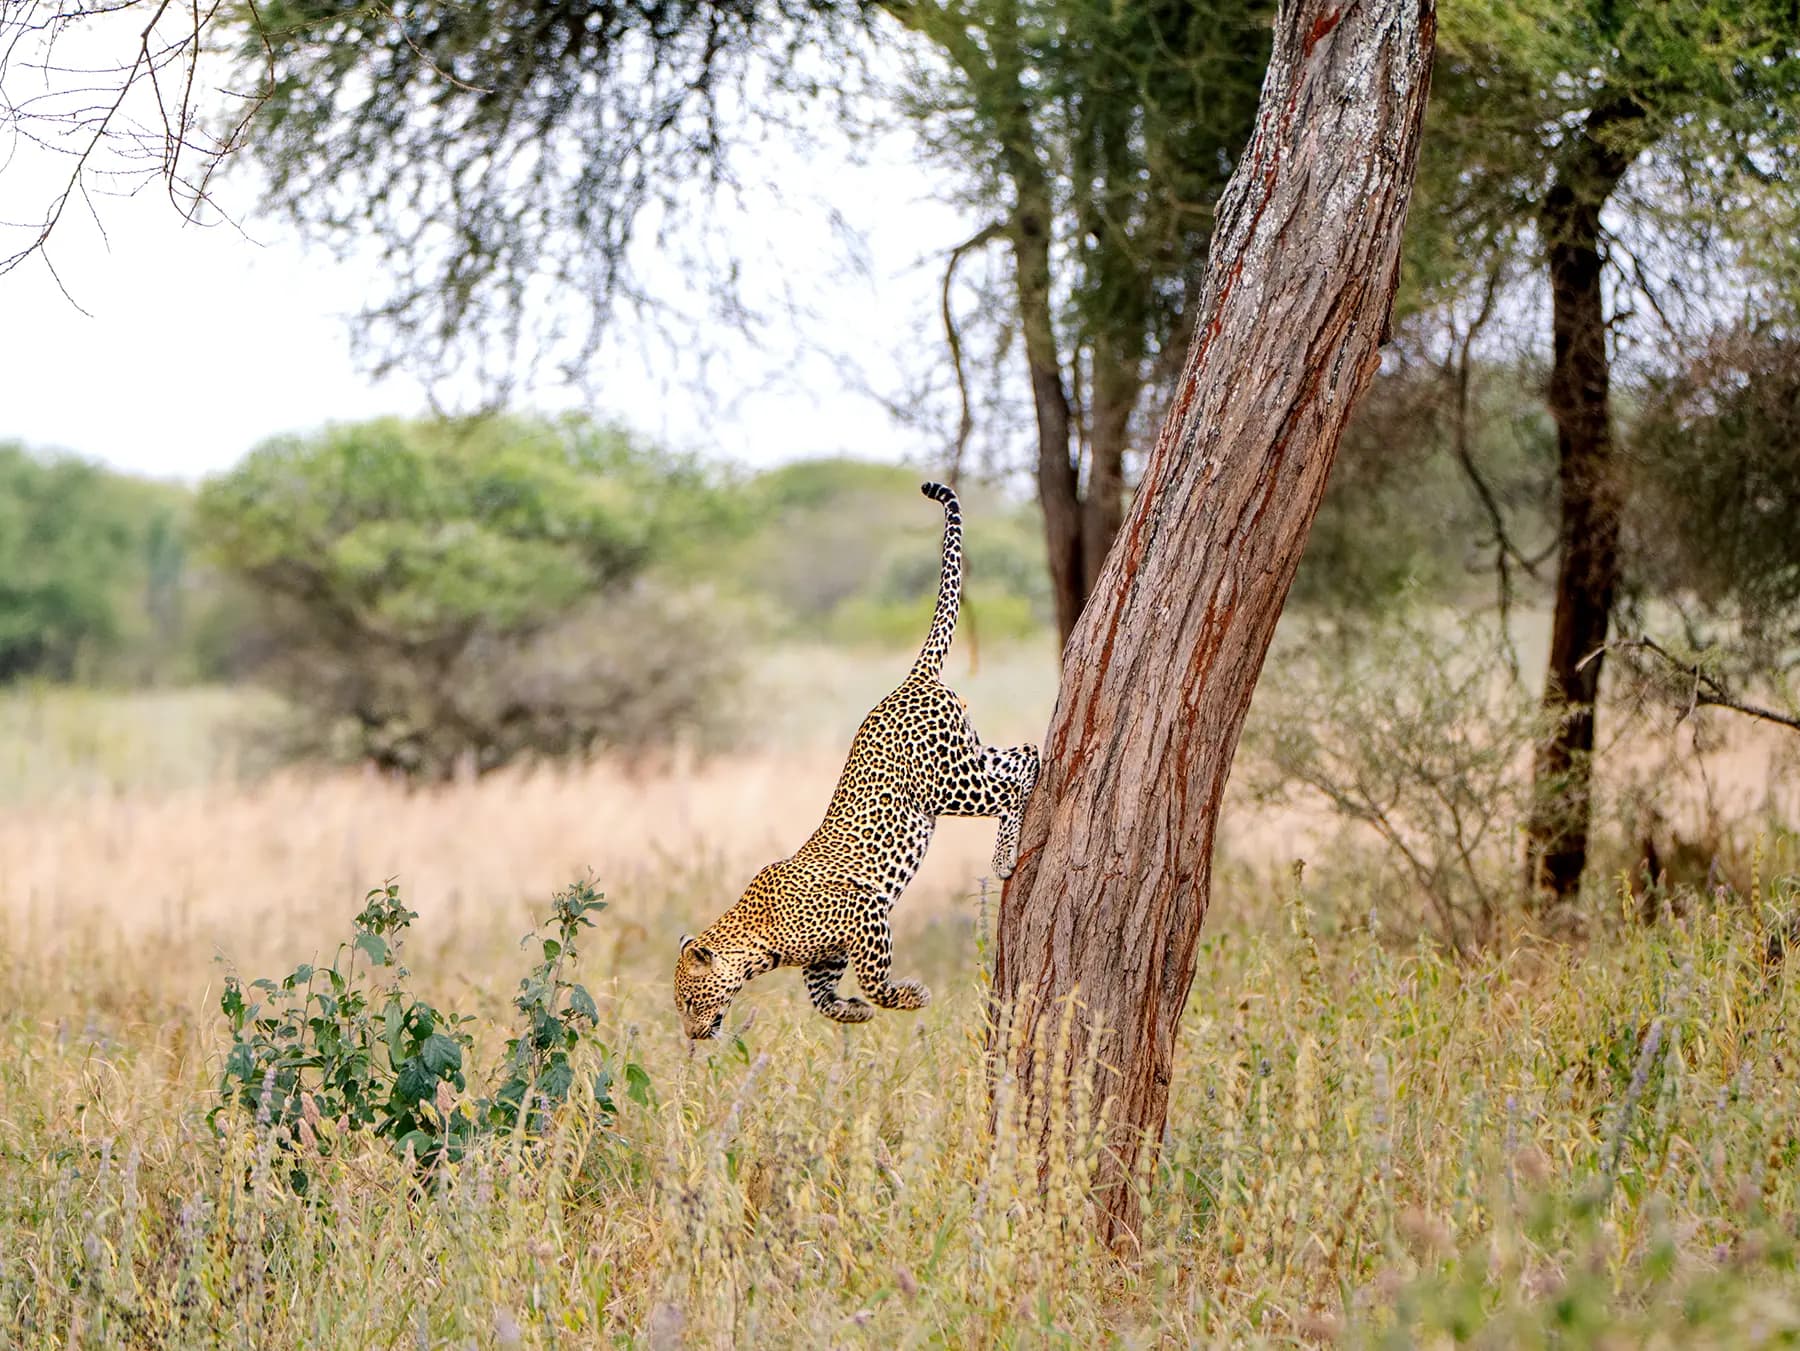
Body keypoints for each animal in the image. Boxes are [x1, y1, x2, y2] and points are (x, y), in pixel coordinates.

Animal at [674, 481, 1040, 1040]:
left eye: (691, 1001)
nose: (694, 1036)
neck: (759, 944)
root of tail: (908, 682)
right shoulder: (824, 957)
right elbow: (821, 997)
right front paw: (855, 1013)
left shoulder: (864, 911)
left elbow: (872, 977)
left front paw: (908, 996)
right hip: (966, 755)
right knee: (1024, 753)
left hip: (947, 785)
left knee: (1017, 779)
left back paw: (1003, 859)